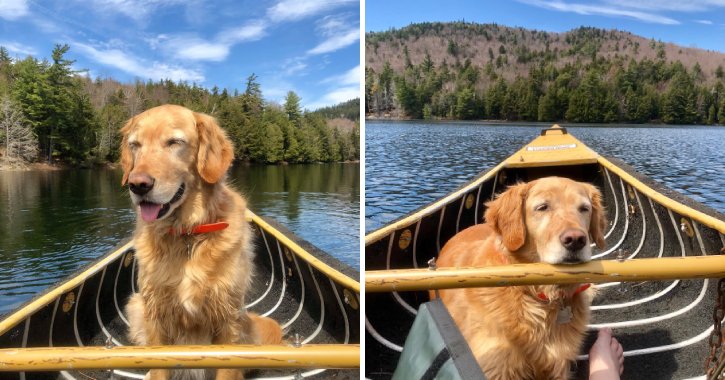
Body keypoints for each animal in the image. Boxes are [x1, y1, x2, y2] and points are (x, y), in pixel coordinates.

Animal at [121, 104, 282, 380]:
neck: (188, 234)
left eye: (174, 142)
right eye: (135, 145)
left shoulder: (228, 317)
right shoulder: (155, 315)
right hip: (136, 304)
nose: (137, 185)